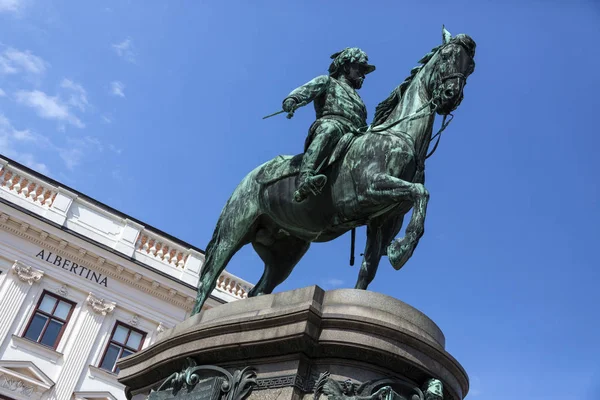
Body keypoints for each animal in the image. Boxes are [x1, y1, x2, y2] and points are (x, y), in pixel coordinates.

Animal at [195, 28, 476, 316]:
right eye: (446, 55)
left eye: (470, 66)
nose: (451, 95)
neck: (400, 135)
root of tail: (246, 181)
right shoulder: (371, 188)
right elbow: (421, 192)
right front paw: (403, 249)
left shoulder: (383, 220)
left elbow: (368, 269)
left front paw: (392, 256)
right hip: (233, 232)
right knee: (208, 280)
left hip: (285, 251)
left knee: (259, 290)